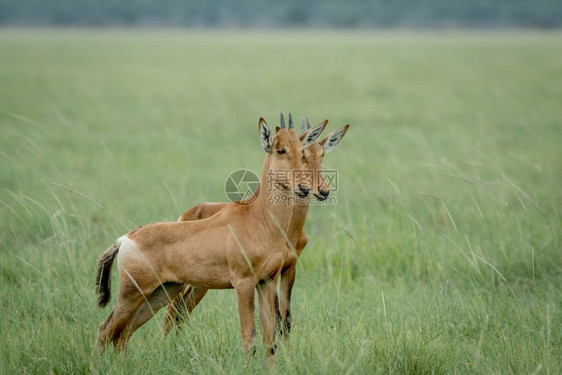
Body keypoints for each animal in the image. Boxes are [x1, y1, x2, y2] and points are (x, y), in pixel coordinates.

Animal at [94, 113, 326, 360]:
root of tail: (126, 238)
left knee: (123, 332)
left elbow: (269, 338)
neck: (257, 217)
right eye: (281, 149)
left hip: (161, 291)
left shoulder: (267, 281)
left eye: (302, 151)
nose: (305, 189)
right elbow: (249, 337)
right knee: (105, 329)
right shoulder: (243, 283)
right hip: (132, 293)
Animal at [160, 118, 348, 338]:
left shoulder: (289, 267)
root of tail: (188, 214)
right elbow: (277, 318)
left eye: (322, 154)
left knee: (181, 310)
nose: (321, 191)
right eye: (303, 155)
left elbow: (285, 319)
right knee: (172, 311)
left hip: (200, 283)